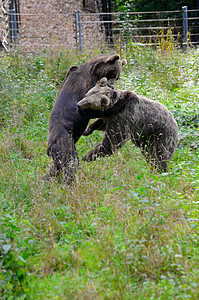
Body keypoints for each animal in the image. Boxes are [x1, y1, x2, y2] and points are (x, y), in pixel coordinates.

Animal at [46, 54, 126, 182]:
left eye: (117, 77)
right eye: (112, 74)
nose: (112, 86)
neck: (94, 72)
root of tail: (49, 148)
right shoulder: (84, 88)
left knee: (56, 167)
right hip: (64, 140)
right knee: (70, 161)